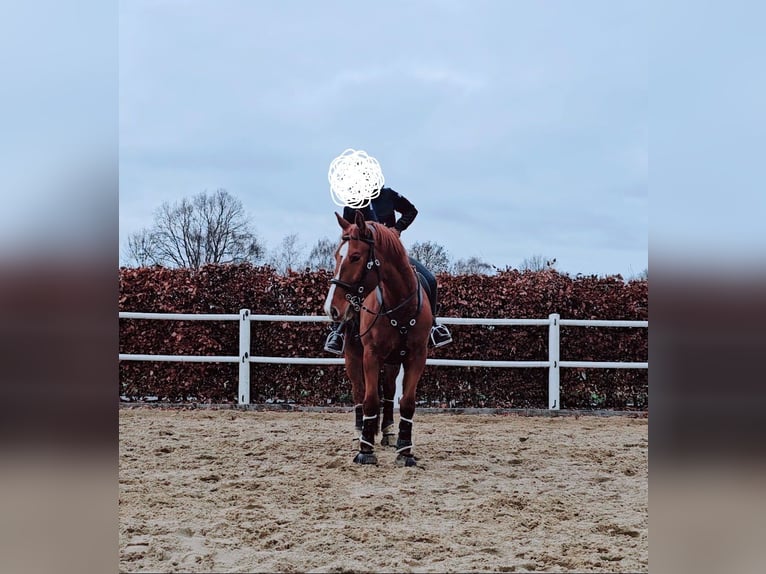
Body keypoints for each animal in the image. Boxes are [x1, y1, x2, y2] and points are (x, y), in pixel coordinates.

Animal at [323, 210, 433, 466]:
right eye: (336, 255)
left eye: (355, 256)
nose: (331, 308)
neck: (399, 306)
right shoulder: (371, 355)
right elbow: (370, 399)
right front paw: (365, 449)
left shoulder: (417, 357)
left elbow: (407, 402)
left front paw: (405, 450)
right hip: (353, 356)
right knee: (359, 392)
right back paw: (360, 432)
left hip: (392, 362)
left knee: (390, 392)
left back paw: (388, 432)